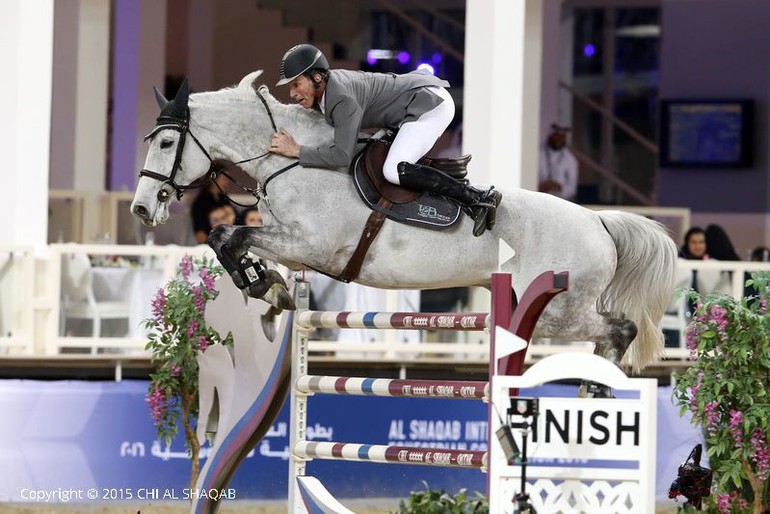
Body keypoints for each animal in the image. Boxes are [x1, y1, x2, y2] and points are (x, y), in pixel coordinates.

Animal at [130, 70, 672, 370]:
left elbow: (230, 234)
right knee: (611, 335)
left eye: (166, 142)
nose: (141, 208)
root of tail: (599, 224)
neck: (293, 161)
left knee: (619, 331)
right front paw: (271, 287)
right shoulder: (293, 246)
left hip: (555, 309)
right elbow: (229, 239)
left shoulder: (309, 245)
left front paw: (266, 286)